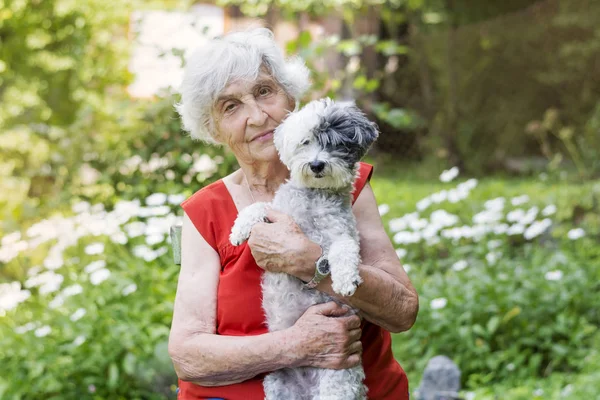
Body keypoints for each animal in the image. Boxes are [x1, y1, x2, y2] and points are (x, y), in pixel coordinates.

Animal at [230, 97, 380, 400]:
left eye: (336, 143)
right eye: (306, 141)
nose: (316, 164)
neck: (313, 198)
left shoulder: (342, 232)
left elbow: (345, 249)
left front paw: (345, 279)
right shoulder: (278, 214)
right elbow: (259, 206)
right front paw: (239, 229)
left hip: (337, 380)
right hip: (278, 385)